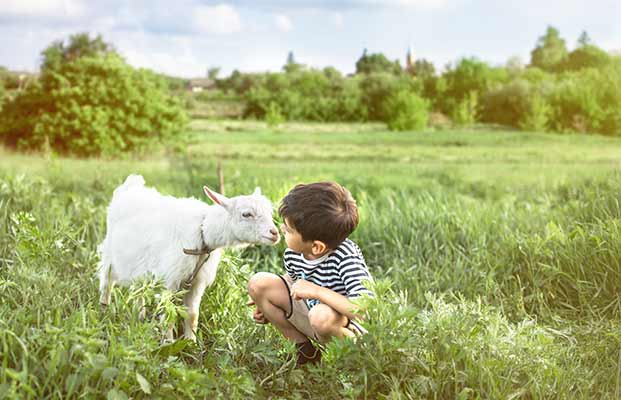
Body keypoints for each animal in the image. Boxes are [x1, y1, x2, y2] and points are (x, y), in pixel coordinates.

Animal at [97, 175, 278, 340]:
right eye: (246, 214)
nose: (275, 233)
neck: (202, 233)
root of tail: (130, 187)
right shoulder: (170, 278)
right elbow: (168, 313)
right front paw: (168, 343)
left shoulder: (197, 281)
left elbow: (192, 314)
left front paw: (191, 342)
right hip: (110, 254)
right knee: (107, 283)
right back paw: (103, 312)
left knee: (138, 290)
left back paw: (138, 317)